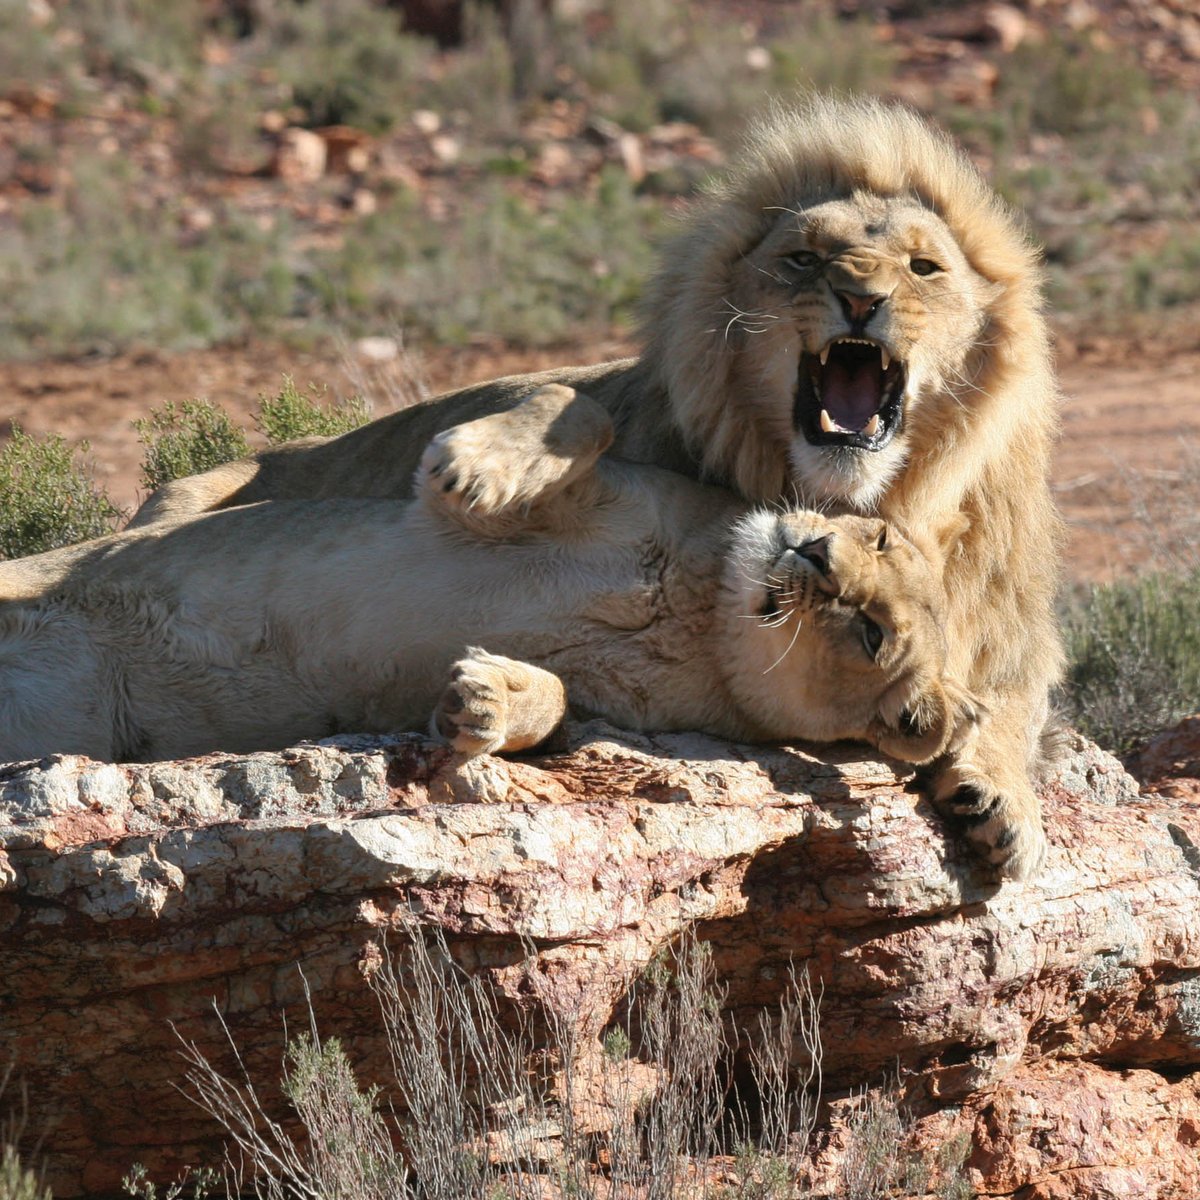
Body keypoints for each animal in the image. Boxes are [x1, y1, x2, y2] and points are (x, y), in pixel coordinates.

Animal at [0, 388, 974, 772]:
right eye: (880, 532)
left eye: (873, 633)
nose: (816, 557)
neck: (703, 608)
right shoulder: (616, 484)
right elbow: (575, 408)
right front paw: (471, 471)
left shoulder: (616, 715)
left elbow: (552, 706)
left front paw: (481, 703)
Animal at [133, 96, 1070, 883]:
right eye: (804, 258)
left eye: (923, 268)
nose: (861, 297)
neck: (856, 491)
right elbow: (572, 404)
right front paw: (481, 466)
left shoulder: (1001, 605)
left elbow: (1012, 694)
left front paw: (1002, 807)